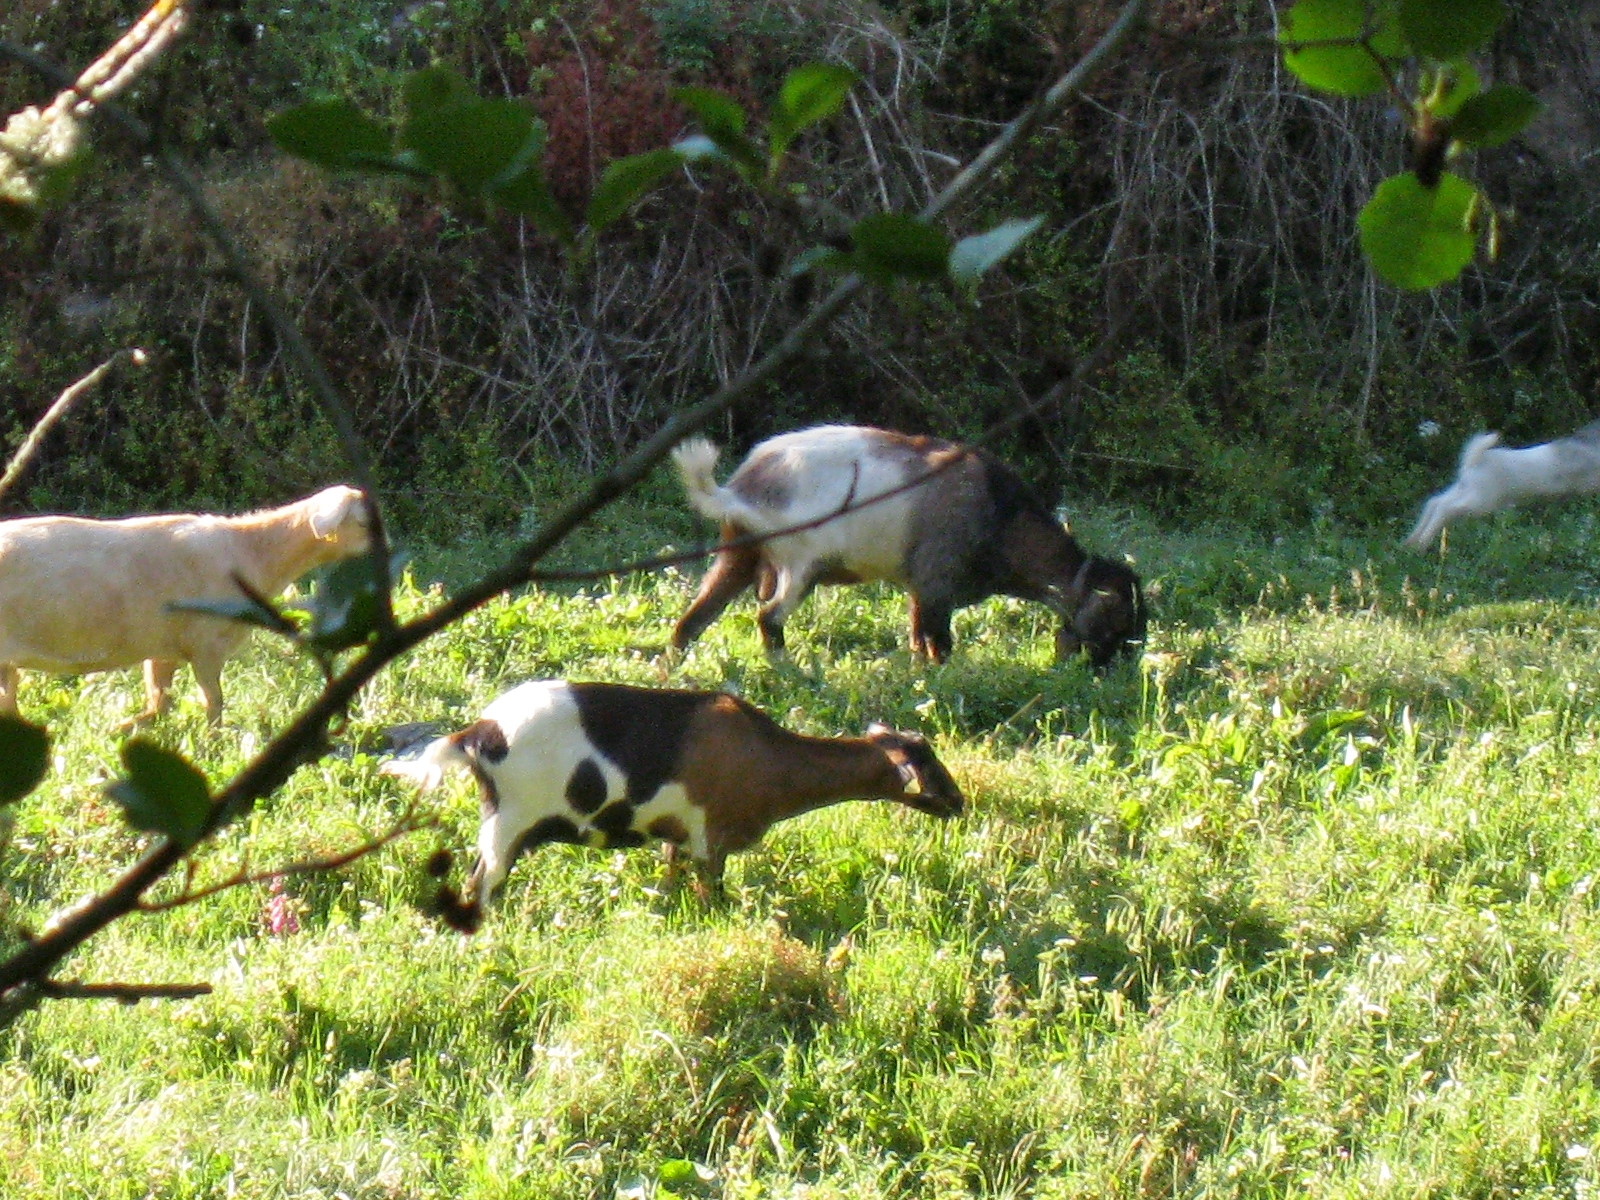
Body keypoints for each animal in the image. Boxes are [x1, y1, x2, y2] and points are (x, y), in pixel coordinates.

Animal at [0, 484, 369, 724]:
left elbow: (159, 701)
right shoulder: (205, 642)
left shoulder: (163, 646)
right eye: (365, 522)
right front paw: (212, 746)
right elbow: (213, 702)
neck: (250, 554)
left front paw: (128, 729)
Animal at [380, 679, 964, 922]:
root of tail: (478, 732)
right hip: (510, 821)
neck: (767, 754)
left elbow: (669, 881)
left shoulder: (676, 835)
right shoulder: (710, 835)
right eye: (928, 764)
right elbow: (711, 896)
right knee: (482, 884)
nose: (959, 802)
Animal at [670, 425, 1146, 666]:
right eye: (1117, 622)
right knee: (769, 617)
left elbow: (918, 640)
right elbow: (939, 644)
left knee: (694, 618)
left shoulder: (921, 588)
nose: (1114, 670)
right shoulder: (936, 585)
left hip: (740, 553)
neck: (999, 513)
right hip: (801, 562)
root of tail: (746, 486)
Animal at [1405, 421, 1600, 549]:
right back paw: (1422, 543)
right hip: (1481, 501)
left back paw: (1411, 541)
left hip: (1464, 490)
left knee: (1435, 502)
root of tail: (1474, 461)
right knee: (1446, 508)